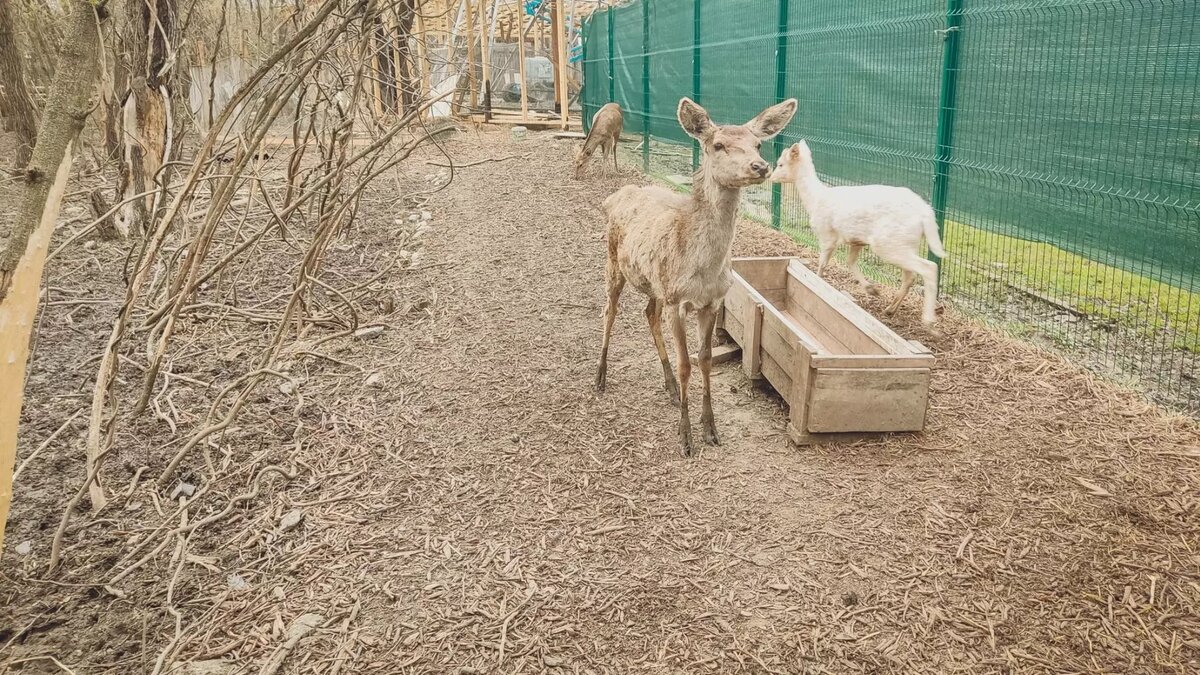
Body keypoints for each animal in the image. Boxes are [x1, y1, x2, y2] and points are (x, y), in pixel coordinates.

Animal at [592, 96, 796, 451]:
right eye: (718, 145)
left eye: (758, 144)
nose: (760, 166)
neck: (703, 268)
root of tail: (616, 196)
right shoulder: (677, 301)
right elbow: (686, 362)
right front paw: (685, 436)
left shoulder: (711, 301)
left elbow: (705, 359)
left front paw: (711, 429)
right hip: (614, 262)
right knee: (609, 311)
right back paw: (600, 376)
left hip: (655, 284)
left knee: (648, 313)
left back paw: (670, 386)